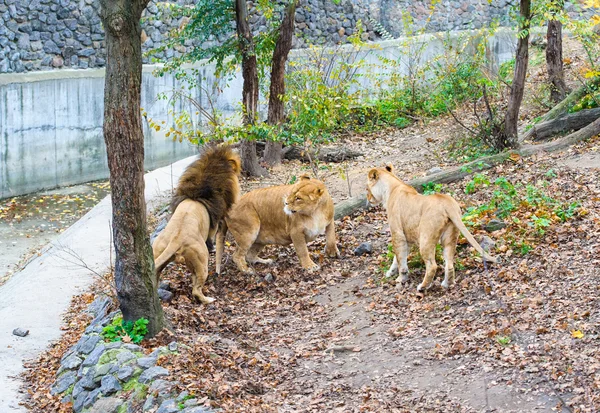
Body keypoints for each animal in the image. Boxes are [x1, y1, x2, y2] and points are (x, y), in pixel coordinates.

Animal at [152, 145, 241, 302]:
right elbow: (212, 239)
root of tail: (176, 239)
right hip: (201, 259)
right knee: (196, 290)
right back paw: (209, 300)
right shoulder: (213, 227)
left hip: (158, 253)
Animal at [366, 163, 496, 292]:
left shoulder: (397, 233)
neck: (392, 187)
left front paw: (401, 278)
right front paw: (391, 272)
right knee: (449, 264)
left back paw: (423, 286)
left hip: (425, 238)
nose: (367, 199)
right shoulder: (407, 236)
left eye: (367, 189)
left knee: (432, 265)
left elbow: (400, 258)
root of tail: (447, 203)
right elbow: (397, 258)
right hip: (450, 236)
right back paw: (446, 284)